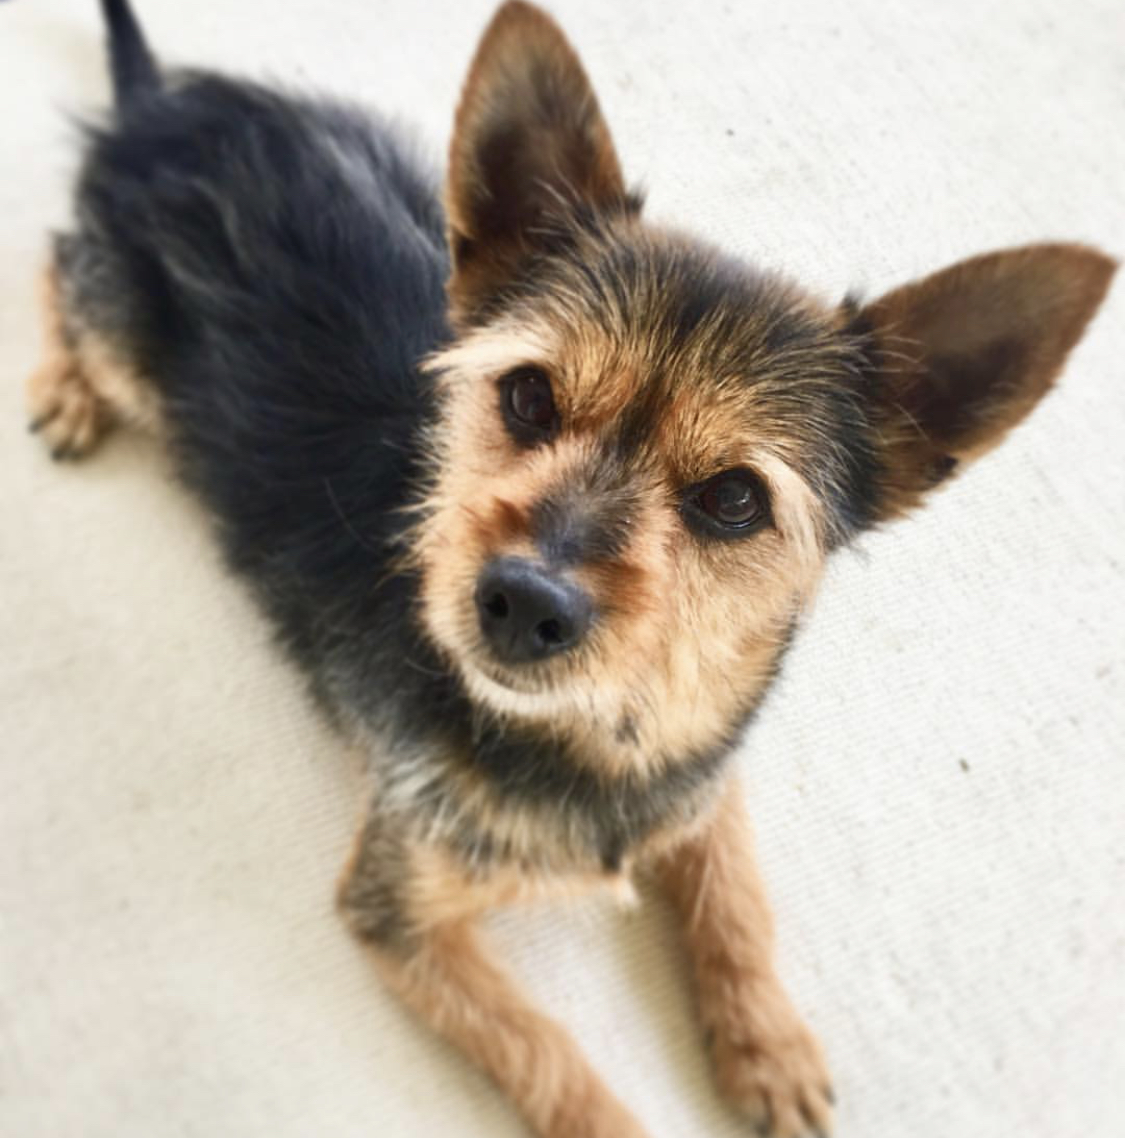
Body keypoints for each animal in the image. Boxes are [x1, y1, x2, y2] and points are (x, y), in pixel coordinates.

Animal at [28, 2, 1114, 1138]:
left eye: (736, 498)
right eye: (527, 396)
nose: (522, 601)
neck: (596, 739)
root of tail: (159, 109)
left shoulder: (702, 767)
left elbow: (735, 891)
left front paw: (767, 1043)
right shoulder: (399, 910)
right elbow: (547, 1053)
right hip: (129, 345)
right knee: (57, 266)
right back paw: (63, 387)